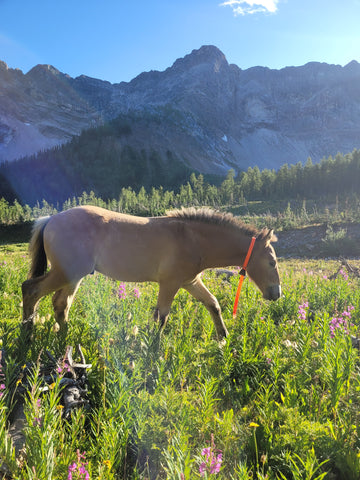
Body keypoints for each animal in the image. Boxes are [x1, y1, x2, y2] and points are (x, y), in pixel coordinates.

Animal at [21, 205, 282, 338]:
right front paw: (153, 348)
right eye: (272, 262)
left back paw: (66, 337)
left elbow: (213, 303)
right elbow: (162, 317)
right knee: (31, 290)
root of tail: (51, 218)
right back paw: (28, 331)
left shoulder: (190, 281)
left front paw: (223, 337)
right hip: (66, 273)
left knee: (60, 304)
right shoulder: (170, 283)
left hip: (74, 276)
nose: (276, 294)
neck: (192, 238)